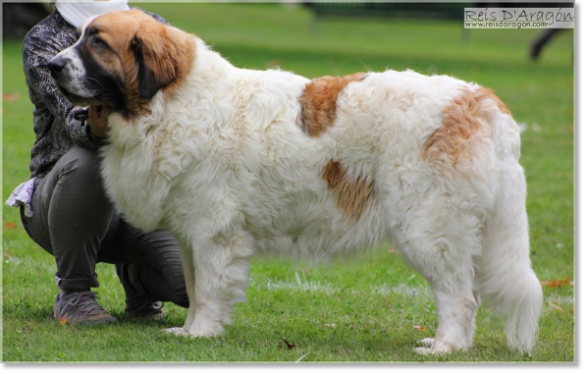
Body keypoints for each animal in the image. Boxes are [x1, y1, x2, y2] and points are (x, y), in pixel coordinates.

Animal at [48, 8, 540, 354]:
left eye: (97, 43)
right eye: (76, 38)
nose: (51, 65)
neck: (170, 102)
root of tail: (481, 101)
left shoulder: (214, 232)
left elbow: (208, 288)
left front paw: (201, 334)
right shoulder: (190, 235)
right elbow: (194, 285)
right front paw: (187, 331)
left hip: (428, 227)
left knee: (461, 296)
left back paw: (443, 347)